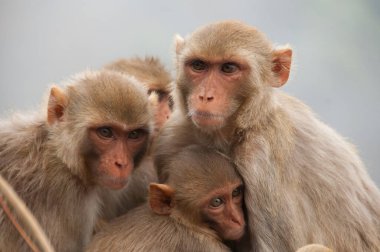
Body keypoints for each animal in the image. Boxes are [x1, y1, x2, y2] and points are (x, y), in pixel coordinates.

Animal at [154, 20, 380, 251]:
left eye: (228, 68)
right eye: (198, 65)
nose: (205, 96)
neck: (243, 127)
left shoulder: (262, 159)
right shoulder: (172, 136)